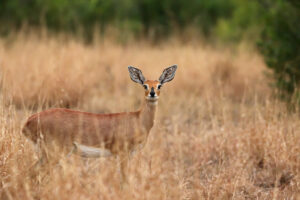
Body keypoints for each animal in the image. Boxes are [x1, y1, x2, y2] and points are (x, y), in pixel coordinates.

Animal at [24, 66, 178, 178]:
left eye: (159, 85)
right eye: (145, 85)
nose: (152, 93)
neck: (138, 119)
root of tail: (28, 122)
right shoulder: (122, 153)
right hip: (55, 152)